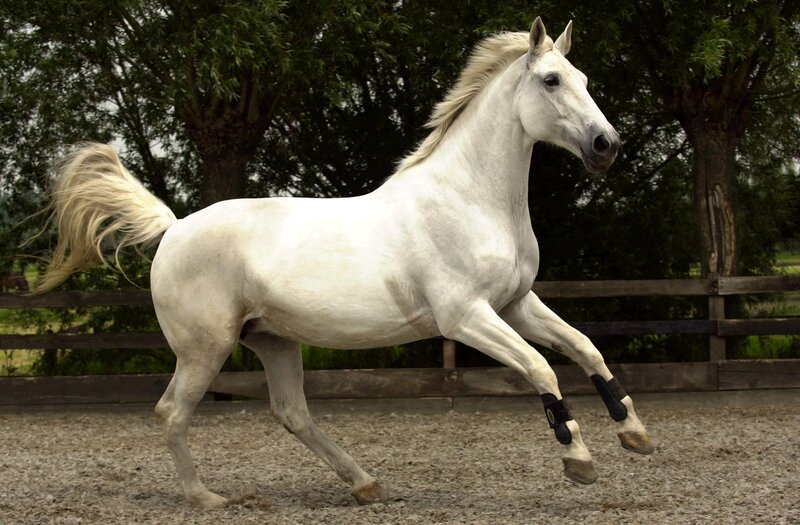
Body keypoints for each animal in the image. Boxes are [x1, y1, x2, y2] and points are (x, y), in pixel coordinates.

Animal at [36, 18, 653, 508]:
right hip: (204, 348)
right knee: (171, 413)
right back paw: (206, 498)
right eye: (551, 80)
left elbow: (586, 349)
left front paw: (636, 434)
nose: (606, 145)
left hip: (273, 341)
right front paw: (579, 461)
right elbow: (541, 367)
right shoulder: (467, 317)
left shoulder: (516, 304)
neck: (470, 199)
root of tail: (175, 227)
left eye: (585, 81)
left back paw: (364, 484)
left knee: (292, 414)